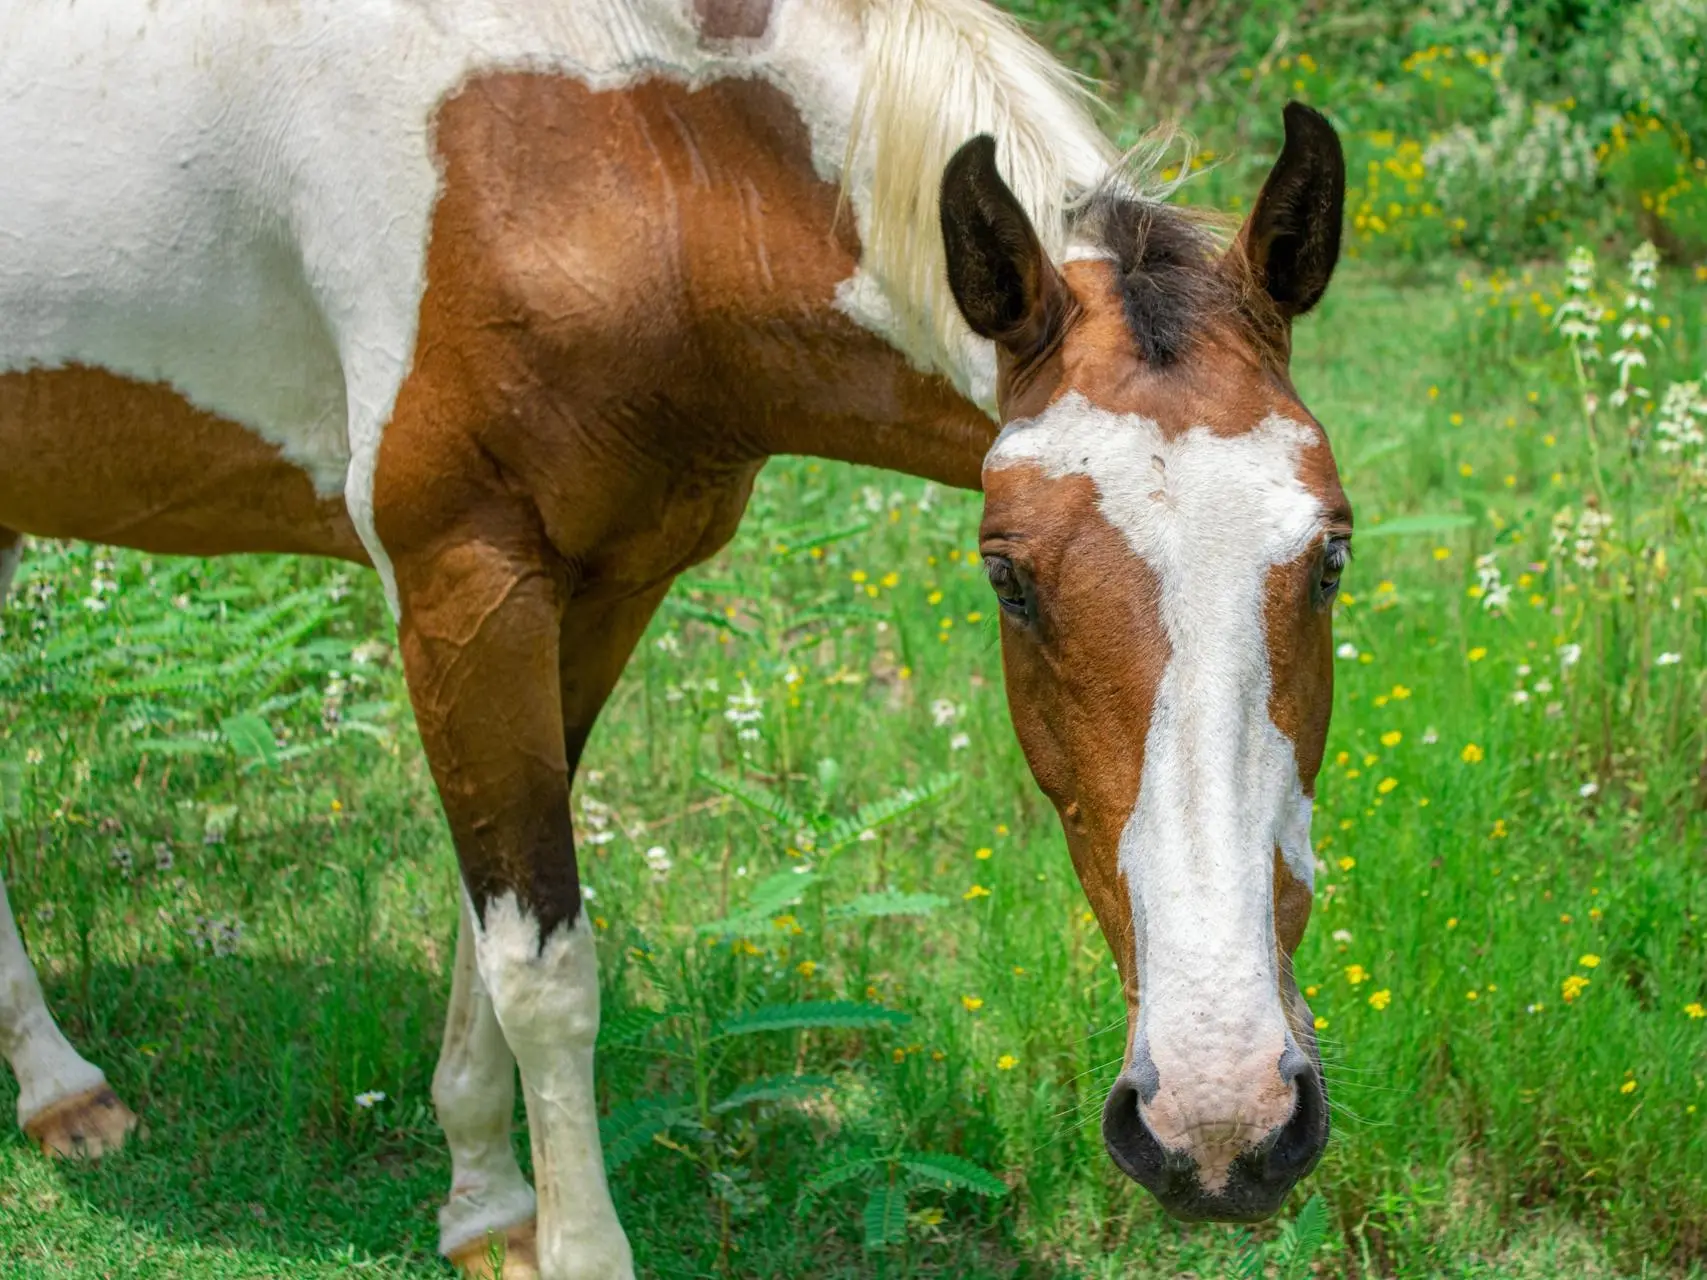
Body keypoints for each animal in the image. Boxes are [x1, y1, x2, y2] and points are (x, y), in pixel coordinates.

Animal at [0, 0, 1351, 1276]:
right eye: (1007, 578)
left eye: (1333, 556)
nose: (1220, 1121)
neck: (607, 153)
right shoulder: (461, 582)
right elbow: (541, 964)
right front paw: (570, 1241)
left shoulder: (604, 589)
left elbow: (485, 918)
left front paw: (484, 1203)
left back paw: (59, 1088)